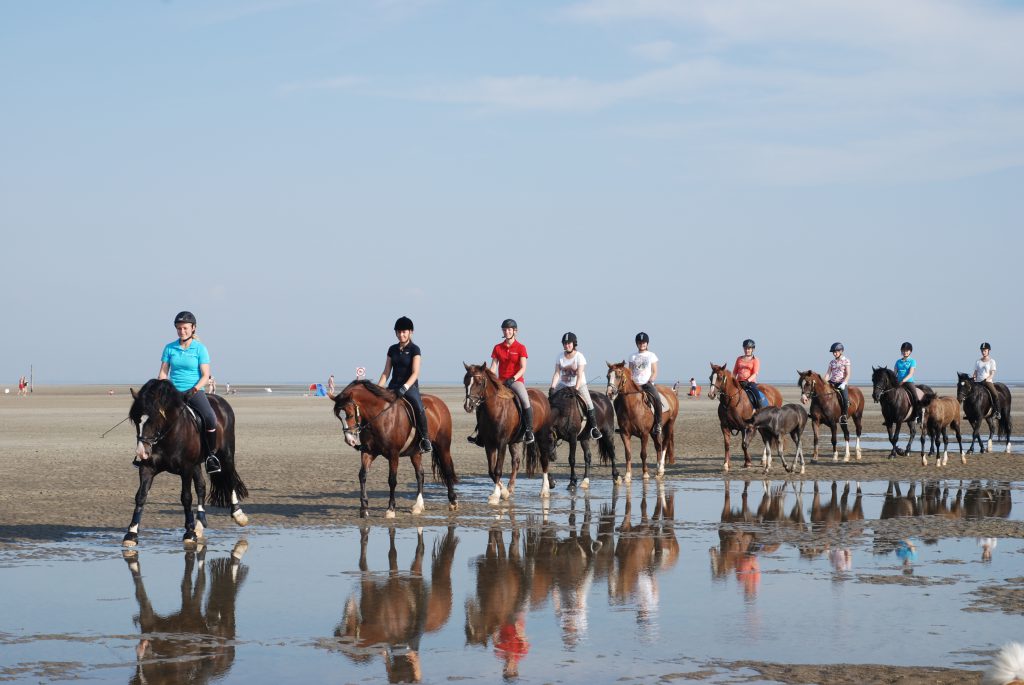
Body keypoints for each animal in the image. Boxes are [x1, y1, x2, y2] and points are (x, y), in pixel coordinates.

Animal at [125, 376, 249, 548]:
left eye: (154, 419)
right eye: (137, 421)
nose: (142, 452)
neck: (168, 435)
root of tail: (219, 400)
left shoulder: (186, 469)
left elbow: (186, 497)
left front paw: (189, 533)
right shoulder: (148, 468)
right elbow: (141, 496)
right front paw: (131, 534)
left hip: (226, 454)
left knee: (230, 478)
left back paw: (238, 514)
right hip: (197, 464)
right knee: (202, 487)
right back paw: (199, 524)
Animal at [329, 378, 458, 518]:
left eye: (351, 415)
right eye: (339, 417)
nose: (349, 440)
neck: (379, 417)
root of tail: (439, 402)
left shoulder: (393, 455)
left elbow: (392, 480)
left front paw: (391, 509)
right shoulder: (368, 452)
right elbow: (362, 475)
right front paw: (364, 508)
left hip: (443, 446)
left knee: (447, 470)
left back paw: (453, 501)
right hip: (415, 452)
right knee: (420, 474)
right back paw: (418, 506)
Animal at [462, 362, 552, 501]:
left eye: (479, 382)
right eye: (465, 382)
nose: (468, 406)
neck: (496, 408)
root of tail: (541, 395)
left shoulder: (502, 443)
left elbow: (498, 469)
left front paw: (496, 494)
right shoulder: (489, 444)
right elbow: (491, 470)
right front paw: (503, 492)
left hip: (542, 436)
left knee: (544, 460)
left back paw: (544, 490)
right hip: (514, 441)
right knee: (516, 462)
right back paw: (510, 488)